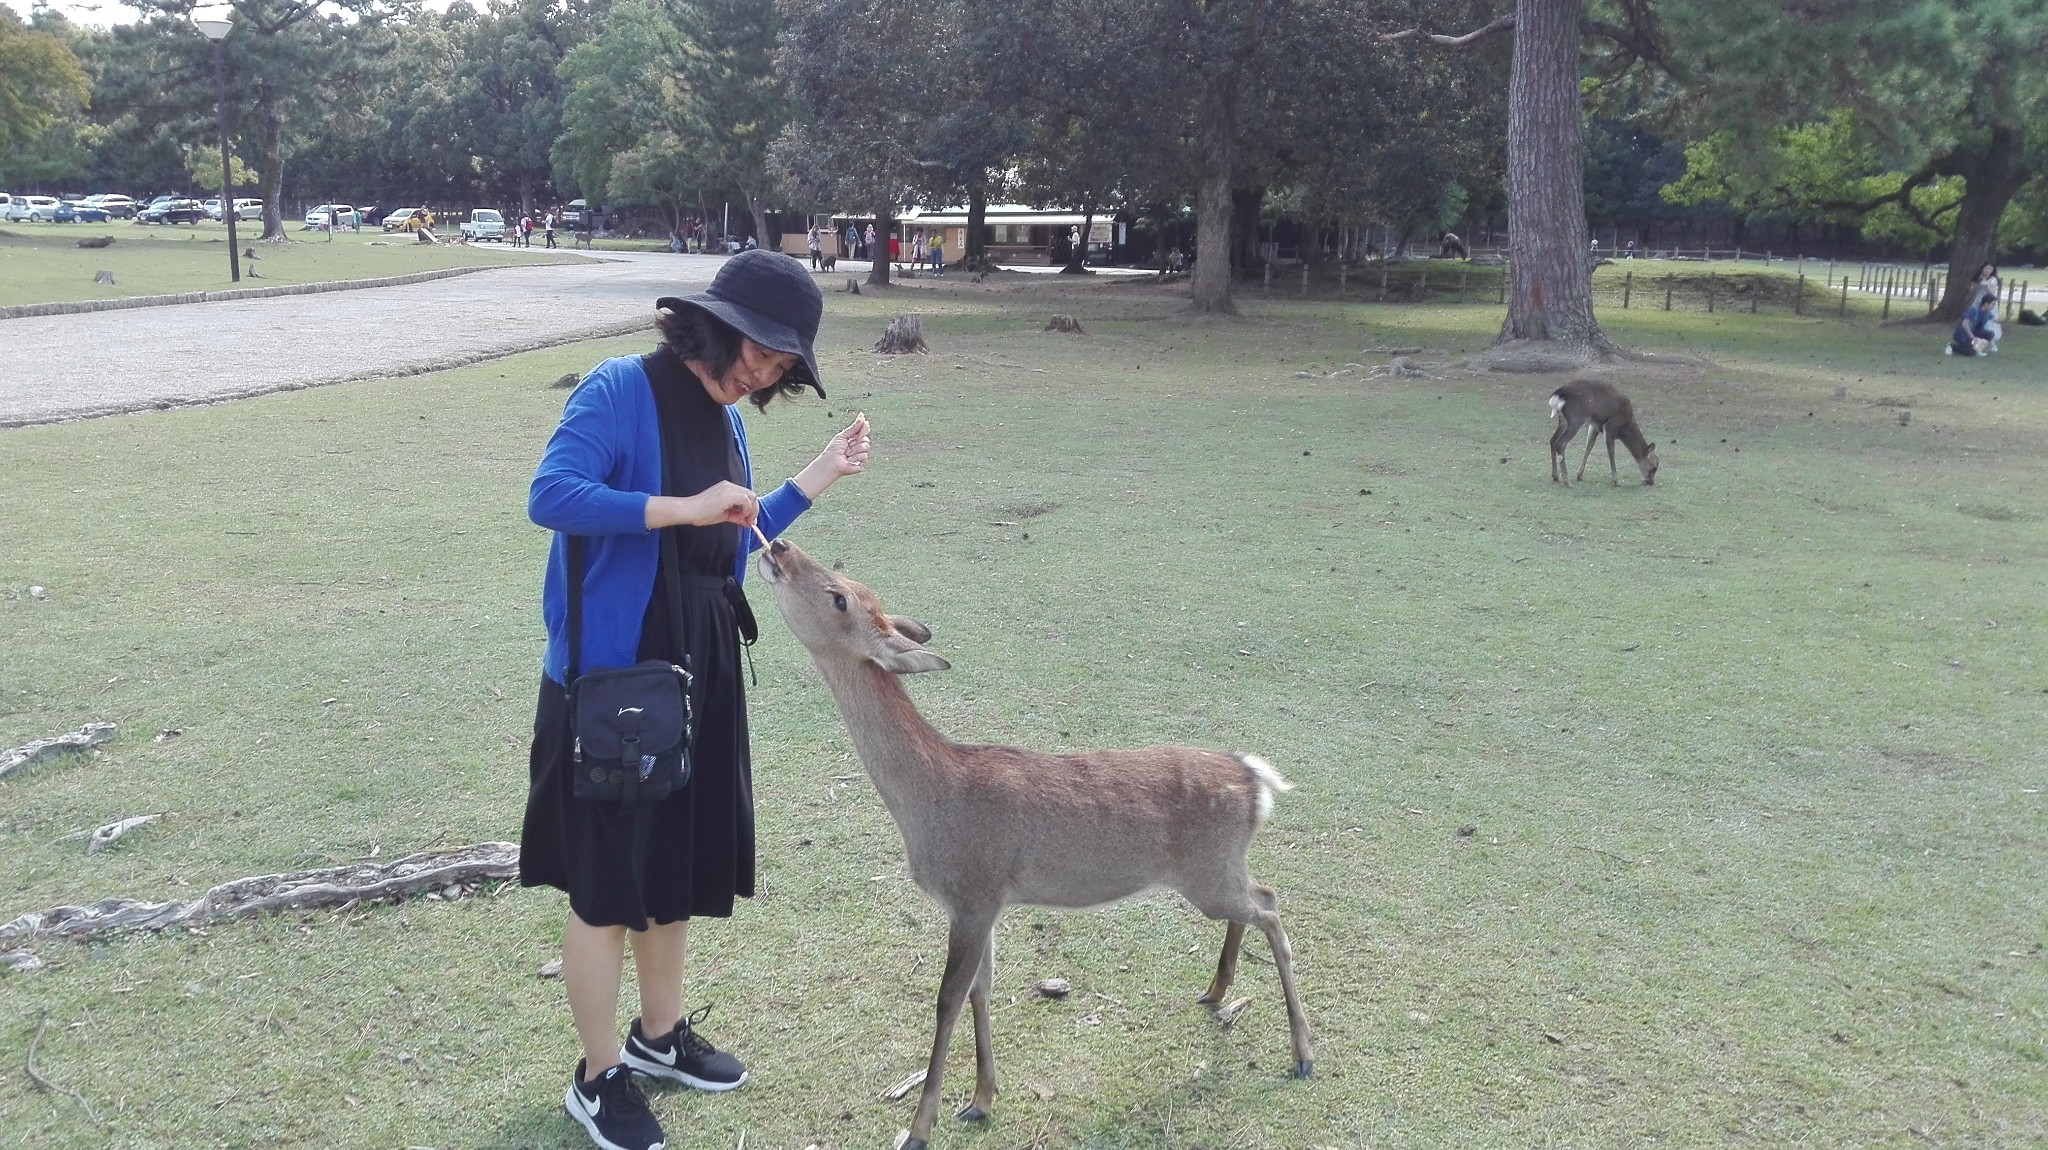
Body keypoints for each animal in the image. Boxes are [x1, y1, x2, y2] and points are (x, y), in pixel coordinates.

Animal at [757, 536, 1310, 1145]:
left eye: (839, 597)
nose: (779, 544)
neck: (931, 801)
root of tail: (1255, 779)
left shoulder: (973, 893)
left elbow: (947, 999)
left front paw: (919, 1127)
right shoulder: (983, 905)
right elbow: (981, 989)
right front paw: (980, 1100)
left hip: (1210, 873)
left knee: (1271, 904)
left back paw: (1303, 1053)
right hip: (1217, 873)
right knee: (1257, 901)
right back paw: (1216, 991)